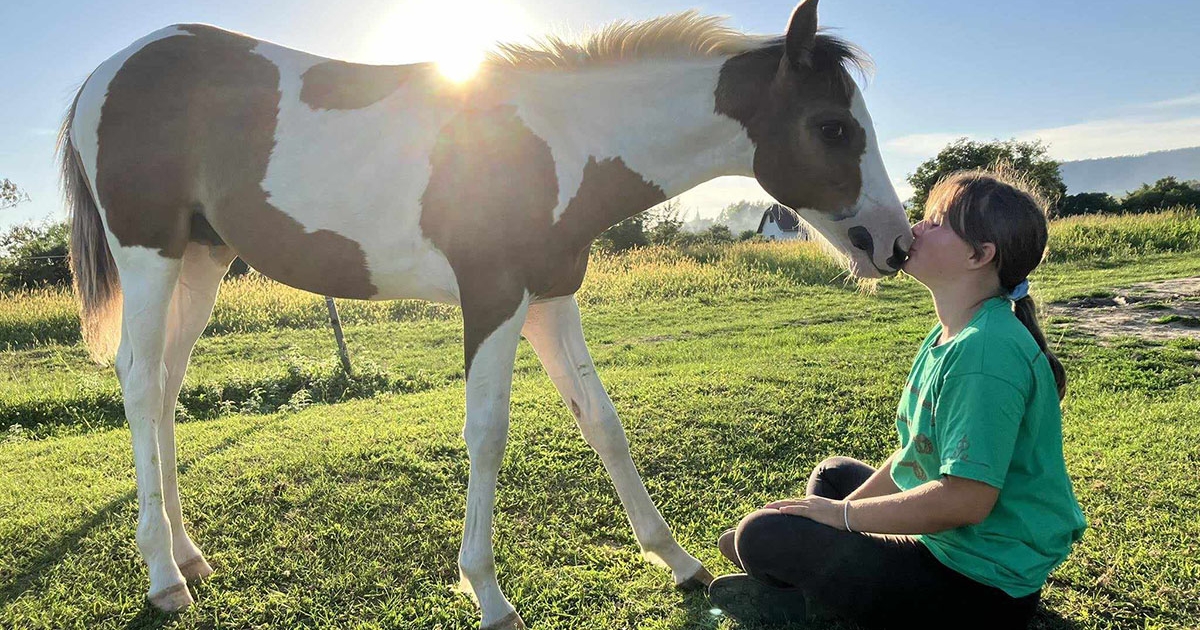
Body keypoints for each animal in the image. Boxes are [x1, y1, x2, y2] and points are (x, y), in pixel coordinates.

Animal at [58, 2, 907, 624]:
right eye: (833, 126)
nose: (893, 244)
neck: (560, 144)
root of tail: (107, 72)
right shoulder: (493, 298)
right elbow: (488, 433)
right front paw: (487, 592)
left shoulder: (551, 299)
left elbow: (603, 422)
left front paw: (678, 562)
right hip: (150, 256)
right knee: (139, 382)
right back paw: (164, 576)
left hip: (202, 260)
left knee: (166, 387)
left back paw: (187, 553)